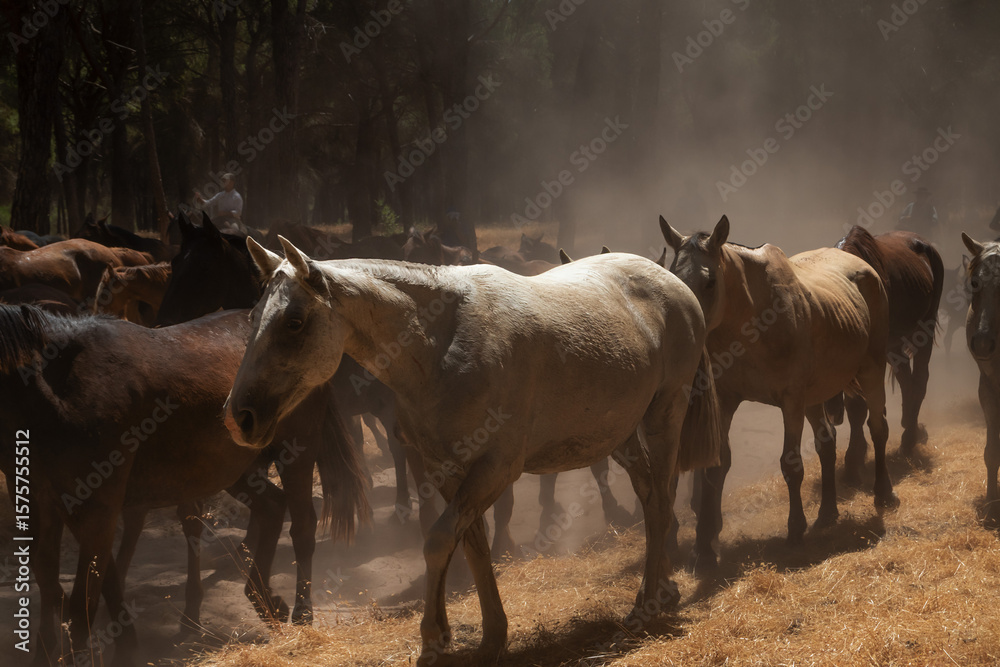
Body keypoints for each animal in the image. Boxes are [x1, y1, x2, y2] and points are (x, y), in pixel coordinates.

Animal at [0, 305, 368, 666]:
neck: (62, 388)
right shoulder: (46, 507)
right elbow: (56, 583)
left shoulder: (95, 511)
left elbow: (83, 602)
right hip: (233, 469)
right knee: (273, 508)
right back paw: (265, 601)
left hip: (296, 452)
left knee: (302, 525)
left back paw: (302, 614)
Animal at [224, 236, 723, 664]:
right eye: (252, 317)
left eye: (294, 322)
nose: (238, 416)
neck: (441, 346)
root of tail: (673, 282)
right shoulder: (447, 470)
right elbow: (473, 546)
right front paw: (490, 637)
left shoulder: (496, 468)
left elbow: (439, 541)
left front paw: (433, 641)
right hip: (619, 436)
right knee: (650, 496)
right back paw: (661, 590)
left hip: (664, 416)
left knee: (661, 500)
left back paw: (647, 606)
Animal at [660, 215, 896, 569]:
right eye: (674, 277)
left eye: (710, 282)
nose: (686, 327)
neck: (753, 320)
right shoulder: (727, 401)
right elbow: (715, 467)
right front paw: (704, 549)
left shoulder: (791, 401)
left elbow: (791, 464)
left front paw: (795, 531)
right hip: (816, 395)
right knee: (827, 444)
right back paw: (827, 513)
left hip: (871, 370)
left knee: (878, 427)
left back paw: (884, 494)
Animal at [832, 227, 944, 472]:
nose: (833, 416)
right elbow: (855, 405)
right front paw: (856, 453)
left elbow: (858, 406)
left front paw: (853, 458)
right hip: (895, 345)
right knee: (907, 381)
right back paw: (910, 426)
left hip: (926, 328)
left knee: (919, 380)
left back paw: (909, 439)